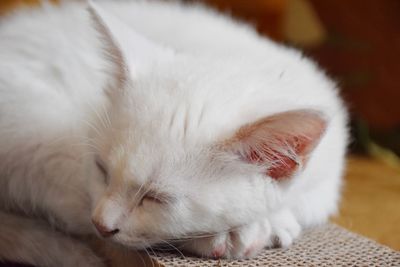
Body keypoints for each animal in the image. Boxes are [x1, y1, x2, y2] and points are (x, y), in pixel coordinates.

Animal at [0, 0, 346, 266]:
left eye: (156, 198)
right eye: (101, 169)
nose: (102, 225)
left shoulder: (326, 179)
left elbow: (309, 203)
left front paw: (274, 219)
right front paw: (237, 232)